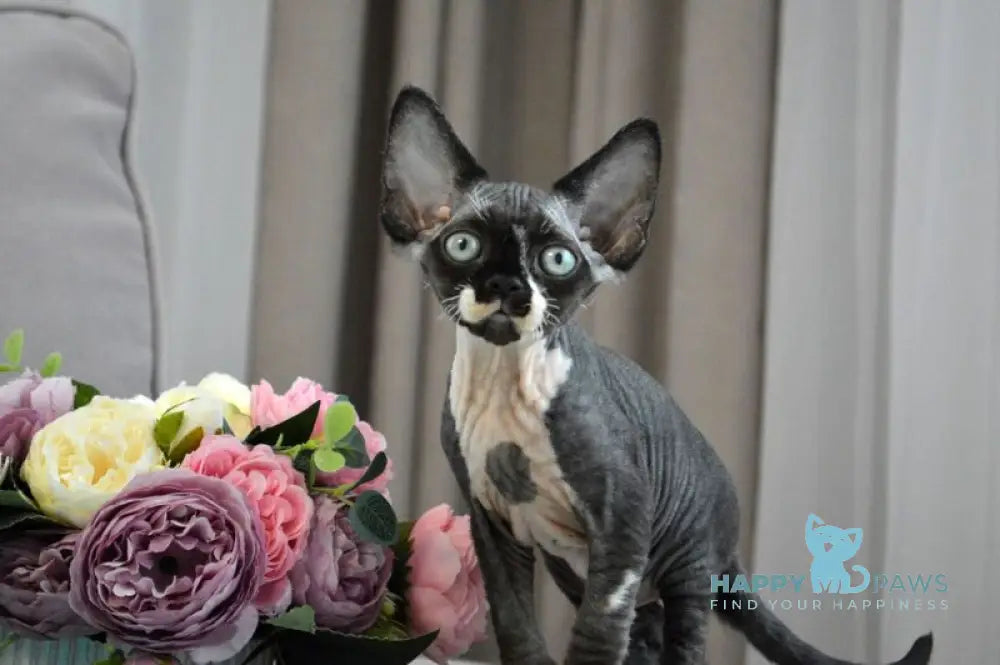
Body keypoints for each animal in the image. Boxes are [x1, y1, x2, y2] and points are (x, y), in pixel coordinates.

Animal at [377, 85, 933, 665]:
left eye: (557, 260)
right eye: (464, 245)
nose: (507, 285)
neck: (506, 382)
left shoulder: (623, 517)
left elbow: (598, 633)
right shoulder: (492, 526)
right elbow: (516, 626)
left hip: (686, 560)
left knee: (684, 642)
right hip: (581, 572)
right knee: (645, 636)